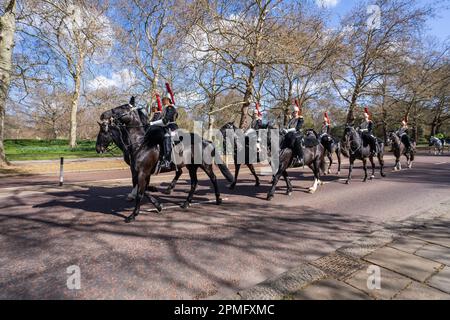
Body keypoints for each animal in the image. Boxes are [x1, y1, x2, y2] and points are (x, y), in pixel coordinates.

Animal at [96, 98, 234, 222]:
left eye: (123, 108)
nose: (97, 148)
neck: (140, 143)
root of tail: (206, 141)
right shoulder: (140, 172)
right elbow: (143, 189)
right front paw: (158, 205)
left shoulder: (142, 172)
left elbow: (141, 192)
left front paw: (133, 215)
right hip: (191, 167)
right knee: (193, 182)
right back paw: (185, 202)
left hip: (204, 165)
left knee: (213, 178)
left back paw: (218, 199)